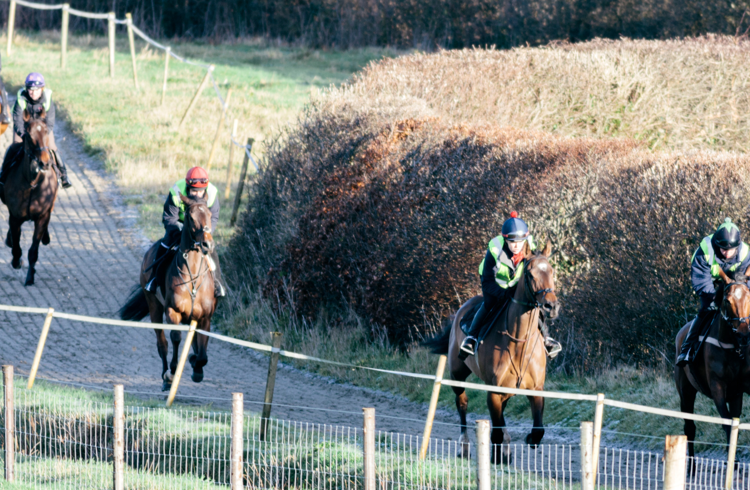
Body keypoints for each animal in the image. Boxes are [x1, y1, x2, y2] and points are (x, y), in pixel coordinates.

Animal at [2, 109, 58, 286]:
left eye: (46, 131)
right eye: (28, 134)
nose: (45, 163)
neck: (32, 183)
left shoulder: (42, 216)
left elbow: (33, 250)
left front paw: (30, 278)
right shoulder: (15, 216)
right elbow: (16, 245)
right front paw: (16, 261)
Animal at [119, 193, 217, 391]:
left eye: (210, 215)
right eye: (190, 217)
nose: (207, 244)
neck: (193, 278)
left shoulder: (205, 317)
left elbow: (202, 353)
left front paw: (196, 366)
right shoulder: (173, 311)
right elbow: (175, 338)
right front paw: (172, 371)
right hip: (154, 306)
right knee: (162, 343)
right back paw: (166, 376)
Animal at [424, 241, 559, 463]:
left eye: (551, 271)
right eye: (530, 274)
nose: (551, 306)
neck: (519, 342)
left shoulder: (536, 389)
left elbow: (538, 429)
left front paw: (526, 440)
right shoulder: (493, 391)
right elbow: (495, 431)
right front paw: (495, 457)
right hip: (457, 374)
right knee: (462, 404)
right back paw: (464, 447)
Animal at [675, 268, 750, 461]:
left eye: (749, 297)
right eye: (727, 300)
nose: (743, 334)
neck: (733, 348)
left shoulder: (741, 388)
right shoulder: (717, 387)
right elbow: (727, 426)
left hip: (735, 396)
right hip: (686, 392)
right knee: (690, 428)